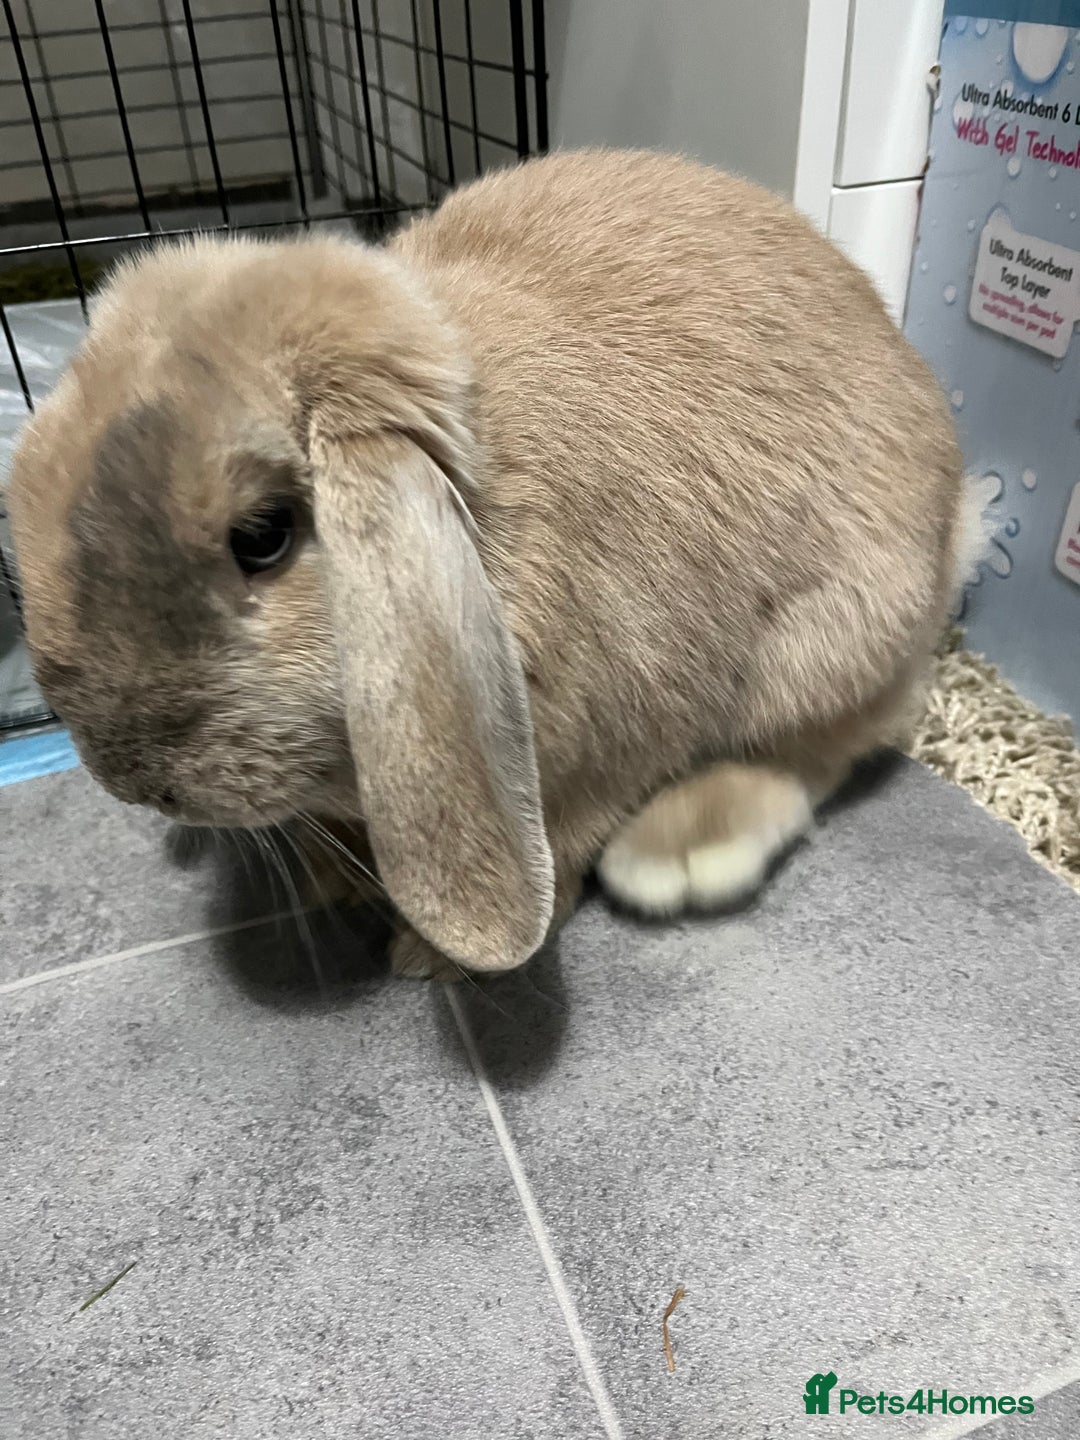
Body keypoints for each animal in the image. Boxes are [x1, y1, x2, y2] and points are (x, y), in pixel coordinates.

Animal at [7, 149, 966, 981]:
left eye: (263, 535)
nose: (126, 778)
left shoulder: (606, 747)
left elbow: (571, 839)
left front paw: (430, 960)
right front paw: (335, 880)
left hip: (832, 641)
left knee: (824, 750)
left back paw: (683, 849)